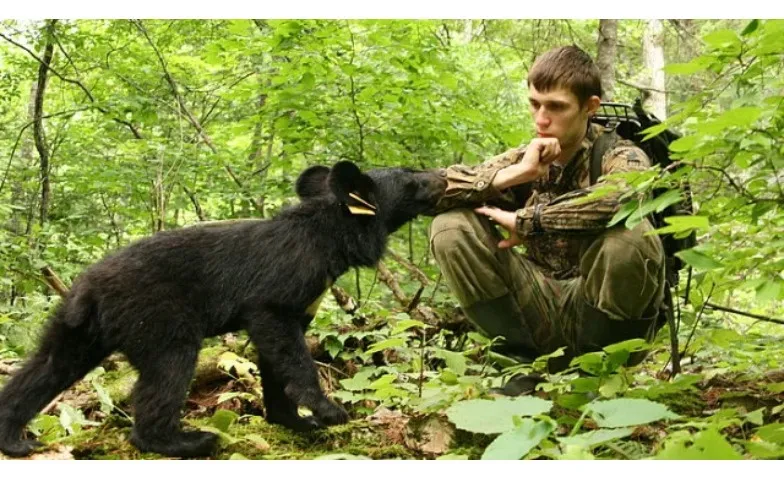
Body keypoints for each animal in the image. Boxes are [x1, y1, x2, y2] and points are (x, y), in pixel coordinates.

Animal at [0, 160, 446, 458]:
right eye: (411, 176)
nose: (443, 175)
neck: (329, 240)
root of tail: (89, 288)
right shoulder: (281, 287)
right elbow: (287, 347)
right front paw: (328, 410)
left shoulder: (301, 303)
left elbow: (274, 356)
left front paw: (294, 420)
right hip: (159, 317)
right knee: (167, 371)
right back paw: (185, 440)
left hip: (78, 328)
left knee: (46, 367)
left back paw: (15, 438)